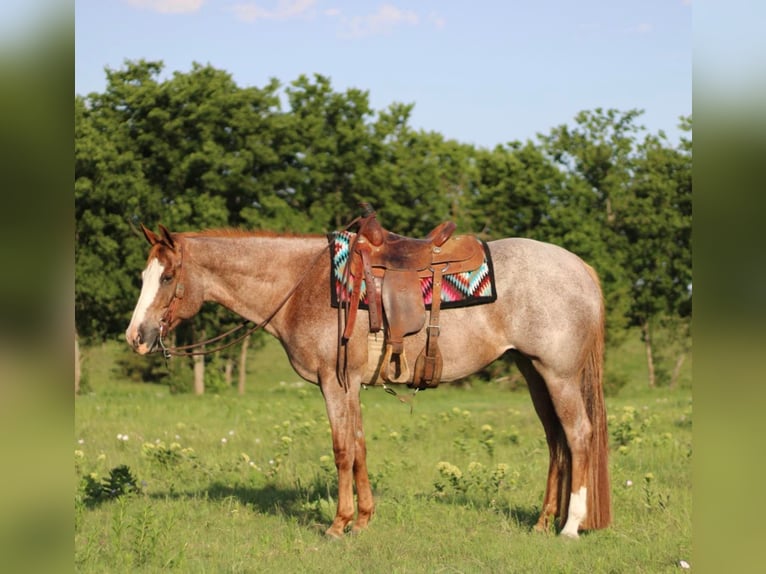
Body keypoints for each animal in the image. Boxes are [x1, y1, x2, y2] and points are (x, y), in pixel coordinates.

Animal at [129, 219, 616, 540]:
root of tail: (581, 268)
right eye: (143, 275)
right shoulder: (350, 386)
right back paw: (542, 522)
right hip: (533, 371)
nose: (136, 336)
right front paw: (363, 519)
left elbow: (342, 449)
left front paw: (338, 524)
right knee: (555, 440)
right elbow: (360, 446)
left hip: (558, 375)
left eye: (167, 276)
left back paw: (571, 526)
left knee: (578, 434)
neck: (302, 286)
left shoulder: (334, 382)